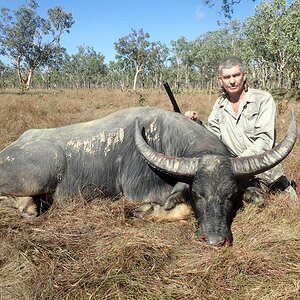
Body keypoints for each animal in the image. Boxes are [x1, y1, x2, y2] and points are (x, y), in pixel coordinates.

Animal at [0, 108, 296, 246]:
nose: (215, 240)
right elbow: (181, 207)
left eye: (231, 196)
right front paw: (143, 212)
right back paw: (27, 207)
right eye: (198, 194)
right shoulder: (138, 191)